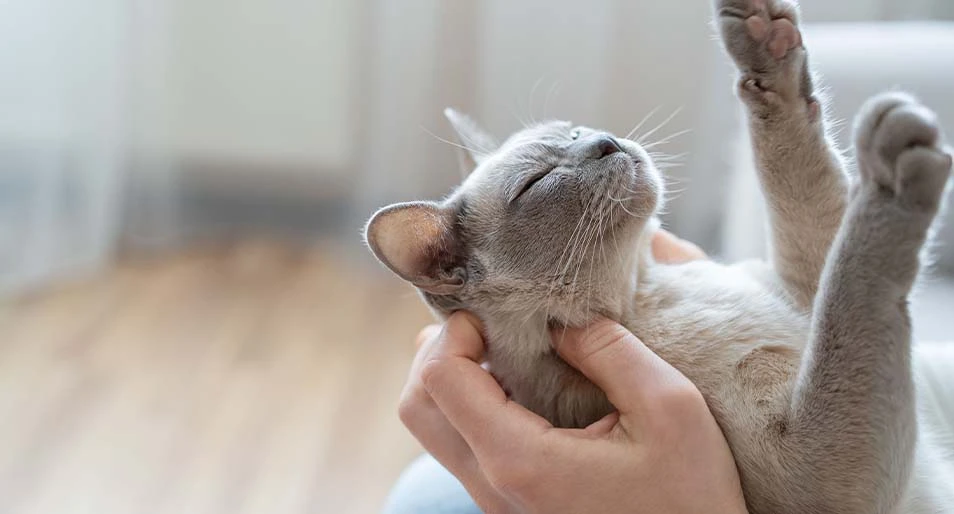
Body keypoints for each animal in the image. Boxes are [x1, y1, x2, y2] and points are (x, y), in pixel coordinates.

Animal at [360, 1, 948, 512]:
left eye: (574, 131)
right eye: (538, 182)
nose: (605, 140)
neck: (646, 291)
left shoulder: (804, 284)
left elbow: (799, 181)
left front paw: (762, 37)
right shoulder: (817, 477)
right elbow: (853, 286)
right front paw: (892, 170)